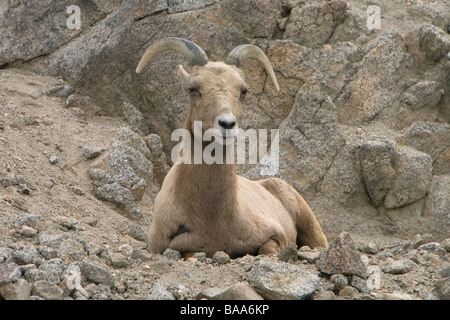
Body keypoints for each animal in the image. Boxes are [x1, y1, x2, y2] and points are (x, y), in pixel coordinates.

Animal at [137, 37, 326, 258]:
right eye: (193, 89)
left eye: (243, 91)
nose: (227, 124)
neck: (211, 217)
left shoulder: (275, 235)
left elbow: (266, 250)